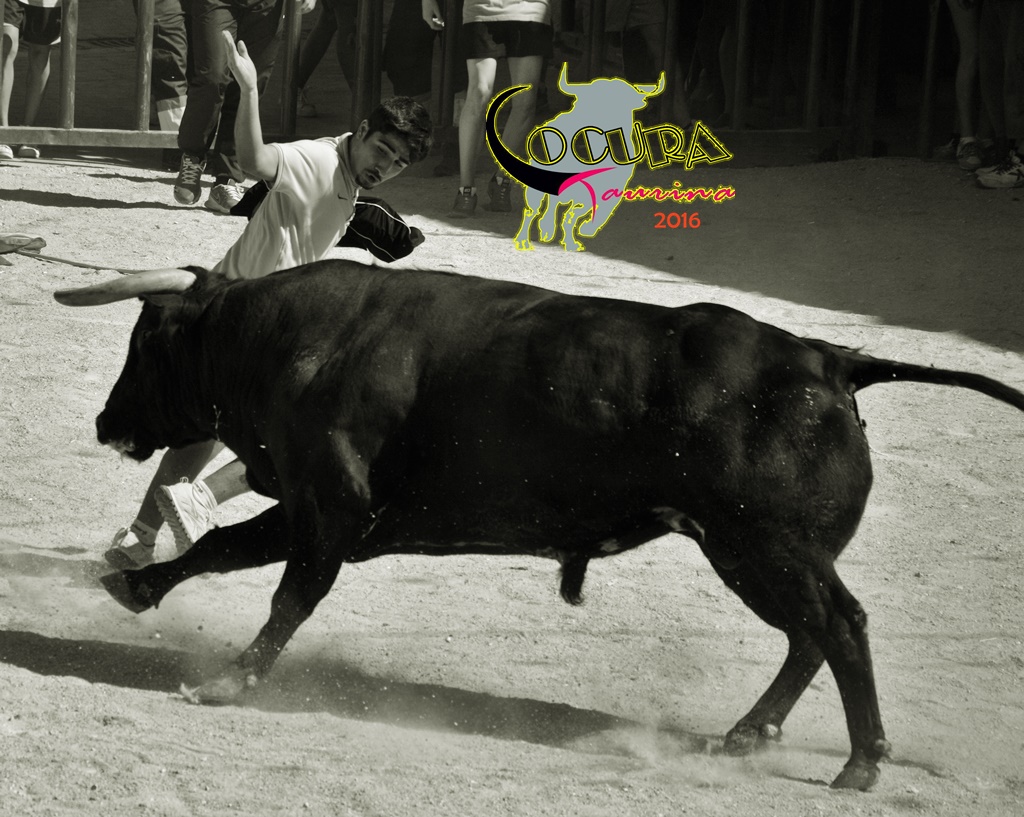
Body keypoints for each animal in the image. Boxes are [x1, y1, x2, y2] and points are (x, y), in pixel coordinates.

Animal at [54, 260, 1024, 791]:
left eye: (145, 343)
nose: (104, 422)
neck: (285, 338)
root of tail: (832, 360)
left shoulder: (330, 510)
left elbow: (291, 596)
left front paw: (229, 680)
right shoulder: (321, 511)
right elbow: (225, 546)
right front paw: (133, 584)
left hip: (770, 546)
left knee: (840, 625)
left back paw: (859, 762)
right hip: (746, 551)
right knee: (807, 635)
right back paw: (748, 735)